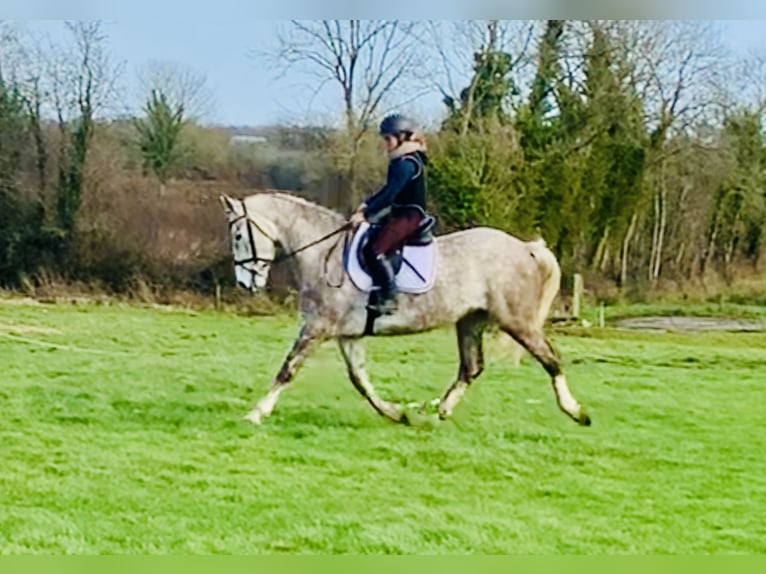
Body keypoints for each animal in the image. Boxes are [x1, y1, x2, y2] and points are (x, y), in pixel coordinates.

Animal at [219, 192, 592, 428]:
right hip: (469, 321)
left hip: (517, 321)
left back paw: (576, 412)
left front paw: (256, 413)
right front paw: (397, 413)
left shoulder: (317, 327)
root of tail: (526, 248)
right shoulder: (347, 335)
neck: (324, 254)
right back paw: (439, 411)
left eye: (238, 235)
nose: (245, 284)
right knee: (471, 368)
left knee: (551, 360)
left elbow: (288, 369)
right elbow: (361, 381)